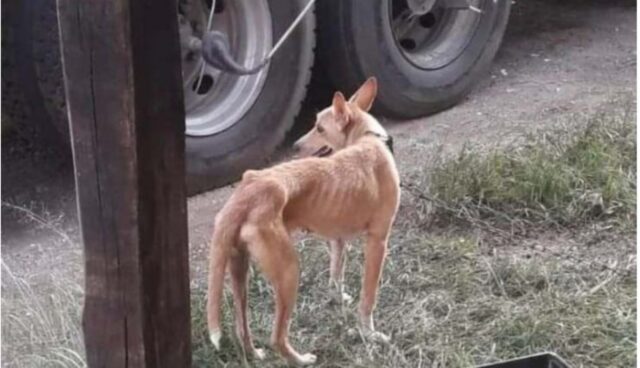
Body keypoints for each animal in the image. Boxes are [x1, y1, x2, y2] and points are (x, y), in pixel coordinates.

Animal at [208, 77, 400, 366]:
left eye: (319, 128)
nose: (295, 146)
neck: (368, 139)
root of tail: (246, 193)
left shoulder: (338, 240)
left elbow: (336, 275)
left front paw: (338, 298)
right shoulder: (378, 242)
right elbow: (368, 299)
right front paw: (370, 334)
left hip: (239, 271)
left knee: (242, 330)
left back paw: (254, 353)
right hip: (289, 271)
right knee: (277, 338)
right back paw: (300, 359)